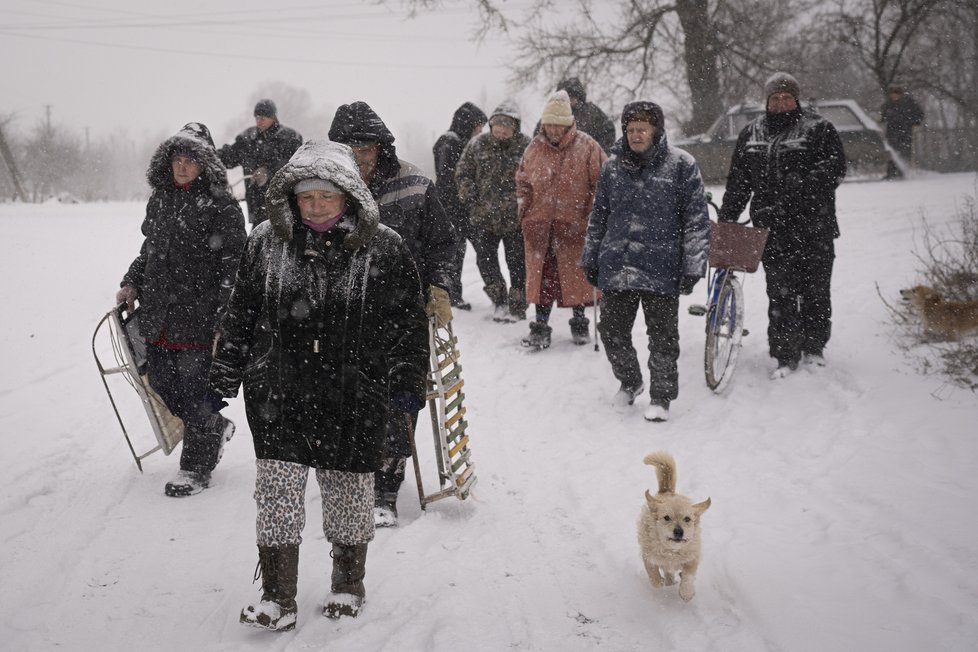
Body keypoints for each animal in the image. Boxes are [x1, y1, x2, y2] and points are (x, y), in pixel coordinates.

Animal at [632, 454, 708, 600]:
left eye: (687, 519)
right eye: (667, 517)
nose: (679, 531)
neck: (672, 551)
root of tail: (667, 491)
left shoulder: (693, 557)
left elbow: (689, 576)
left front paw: (686, 592)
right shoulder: (648, 555)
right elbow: (653, 576)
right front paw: (659, 582)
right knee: (666, 571)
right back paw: (668, 580)